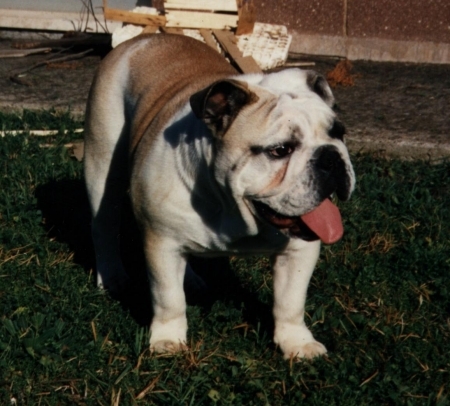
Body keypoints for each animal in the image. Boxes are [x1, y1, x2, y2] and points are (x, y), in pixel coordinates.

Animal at [84, 34, 355, 360]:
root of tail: (145, 39)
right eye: (280, 150)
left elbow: (291, 302)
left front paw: (297, 342)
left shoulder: (298, 251)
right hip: (102, 164)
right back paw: (112, 277)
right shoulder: (161, 243)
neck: (232, 208)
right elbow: (168, 297)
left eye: (338, 133)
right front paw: (167, 339)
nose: (330, 157)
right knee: (104, 225)